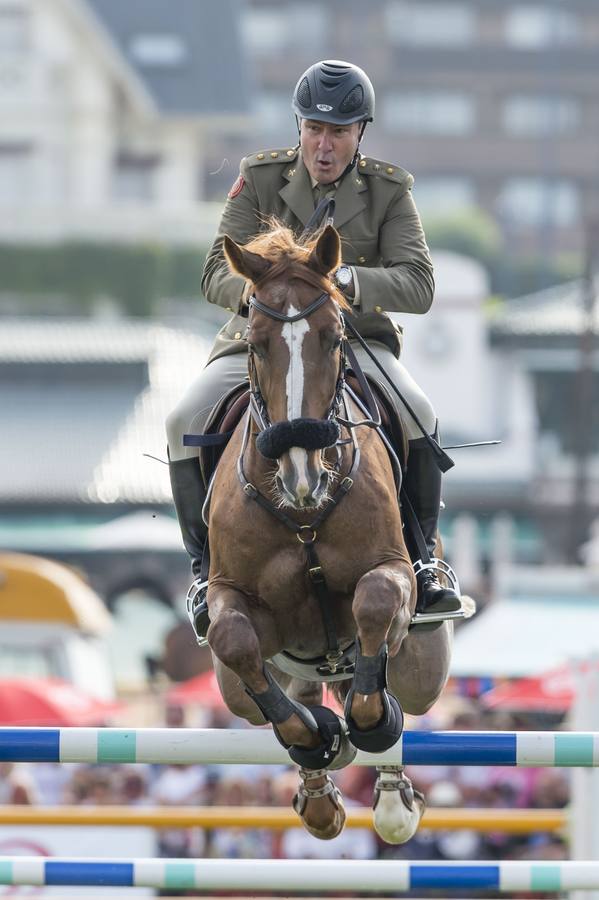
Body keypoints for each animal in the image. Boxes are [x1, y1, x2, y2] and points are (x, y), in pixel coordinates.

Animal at [204, 221, 458, 840]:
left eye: (335, 336)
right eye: (255, 343)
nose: (302, 474)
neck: (302, 517)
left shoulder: (391, 572)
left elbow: (375, 604)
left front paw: (371, 723)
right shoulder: (233, 598)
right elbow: (235, 641)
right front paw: (316, 736)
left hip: (424, 664)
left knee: (393, 682)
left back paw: (391, 797)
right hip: (240, 688)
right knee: (275, 687)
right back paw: (319, 787)